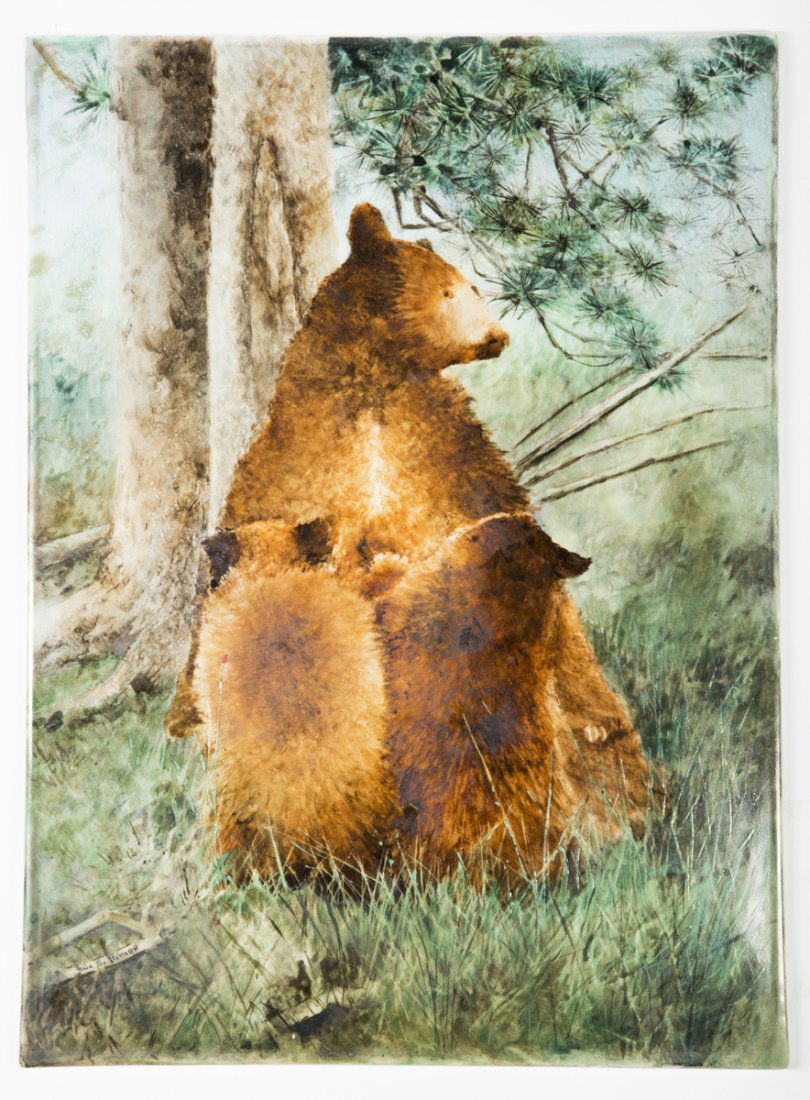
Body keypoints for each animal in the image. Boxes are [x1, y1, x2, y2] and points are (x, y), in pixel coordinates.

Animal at [167, 202, 652, 886]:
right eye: (454, 289)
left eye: (472, 286)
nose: (498, 335)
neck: (377, 387)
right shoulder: (300, 455)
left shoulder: (451, 459)